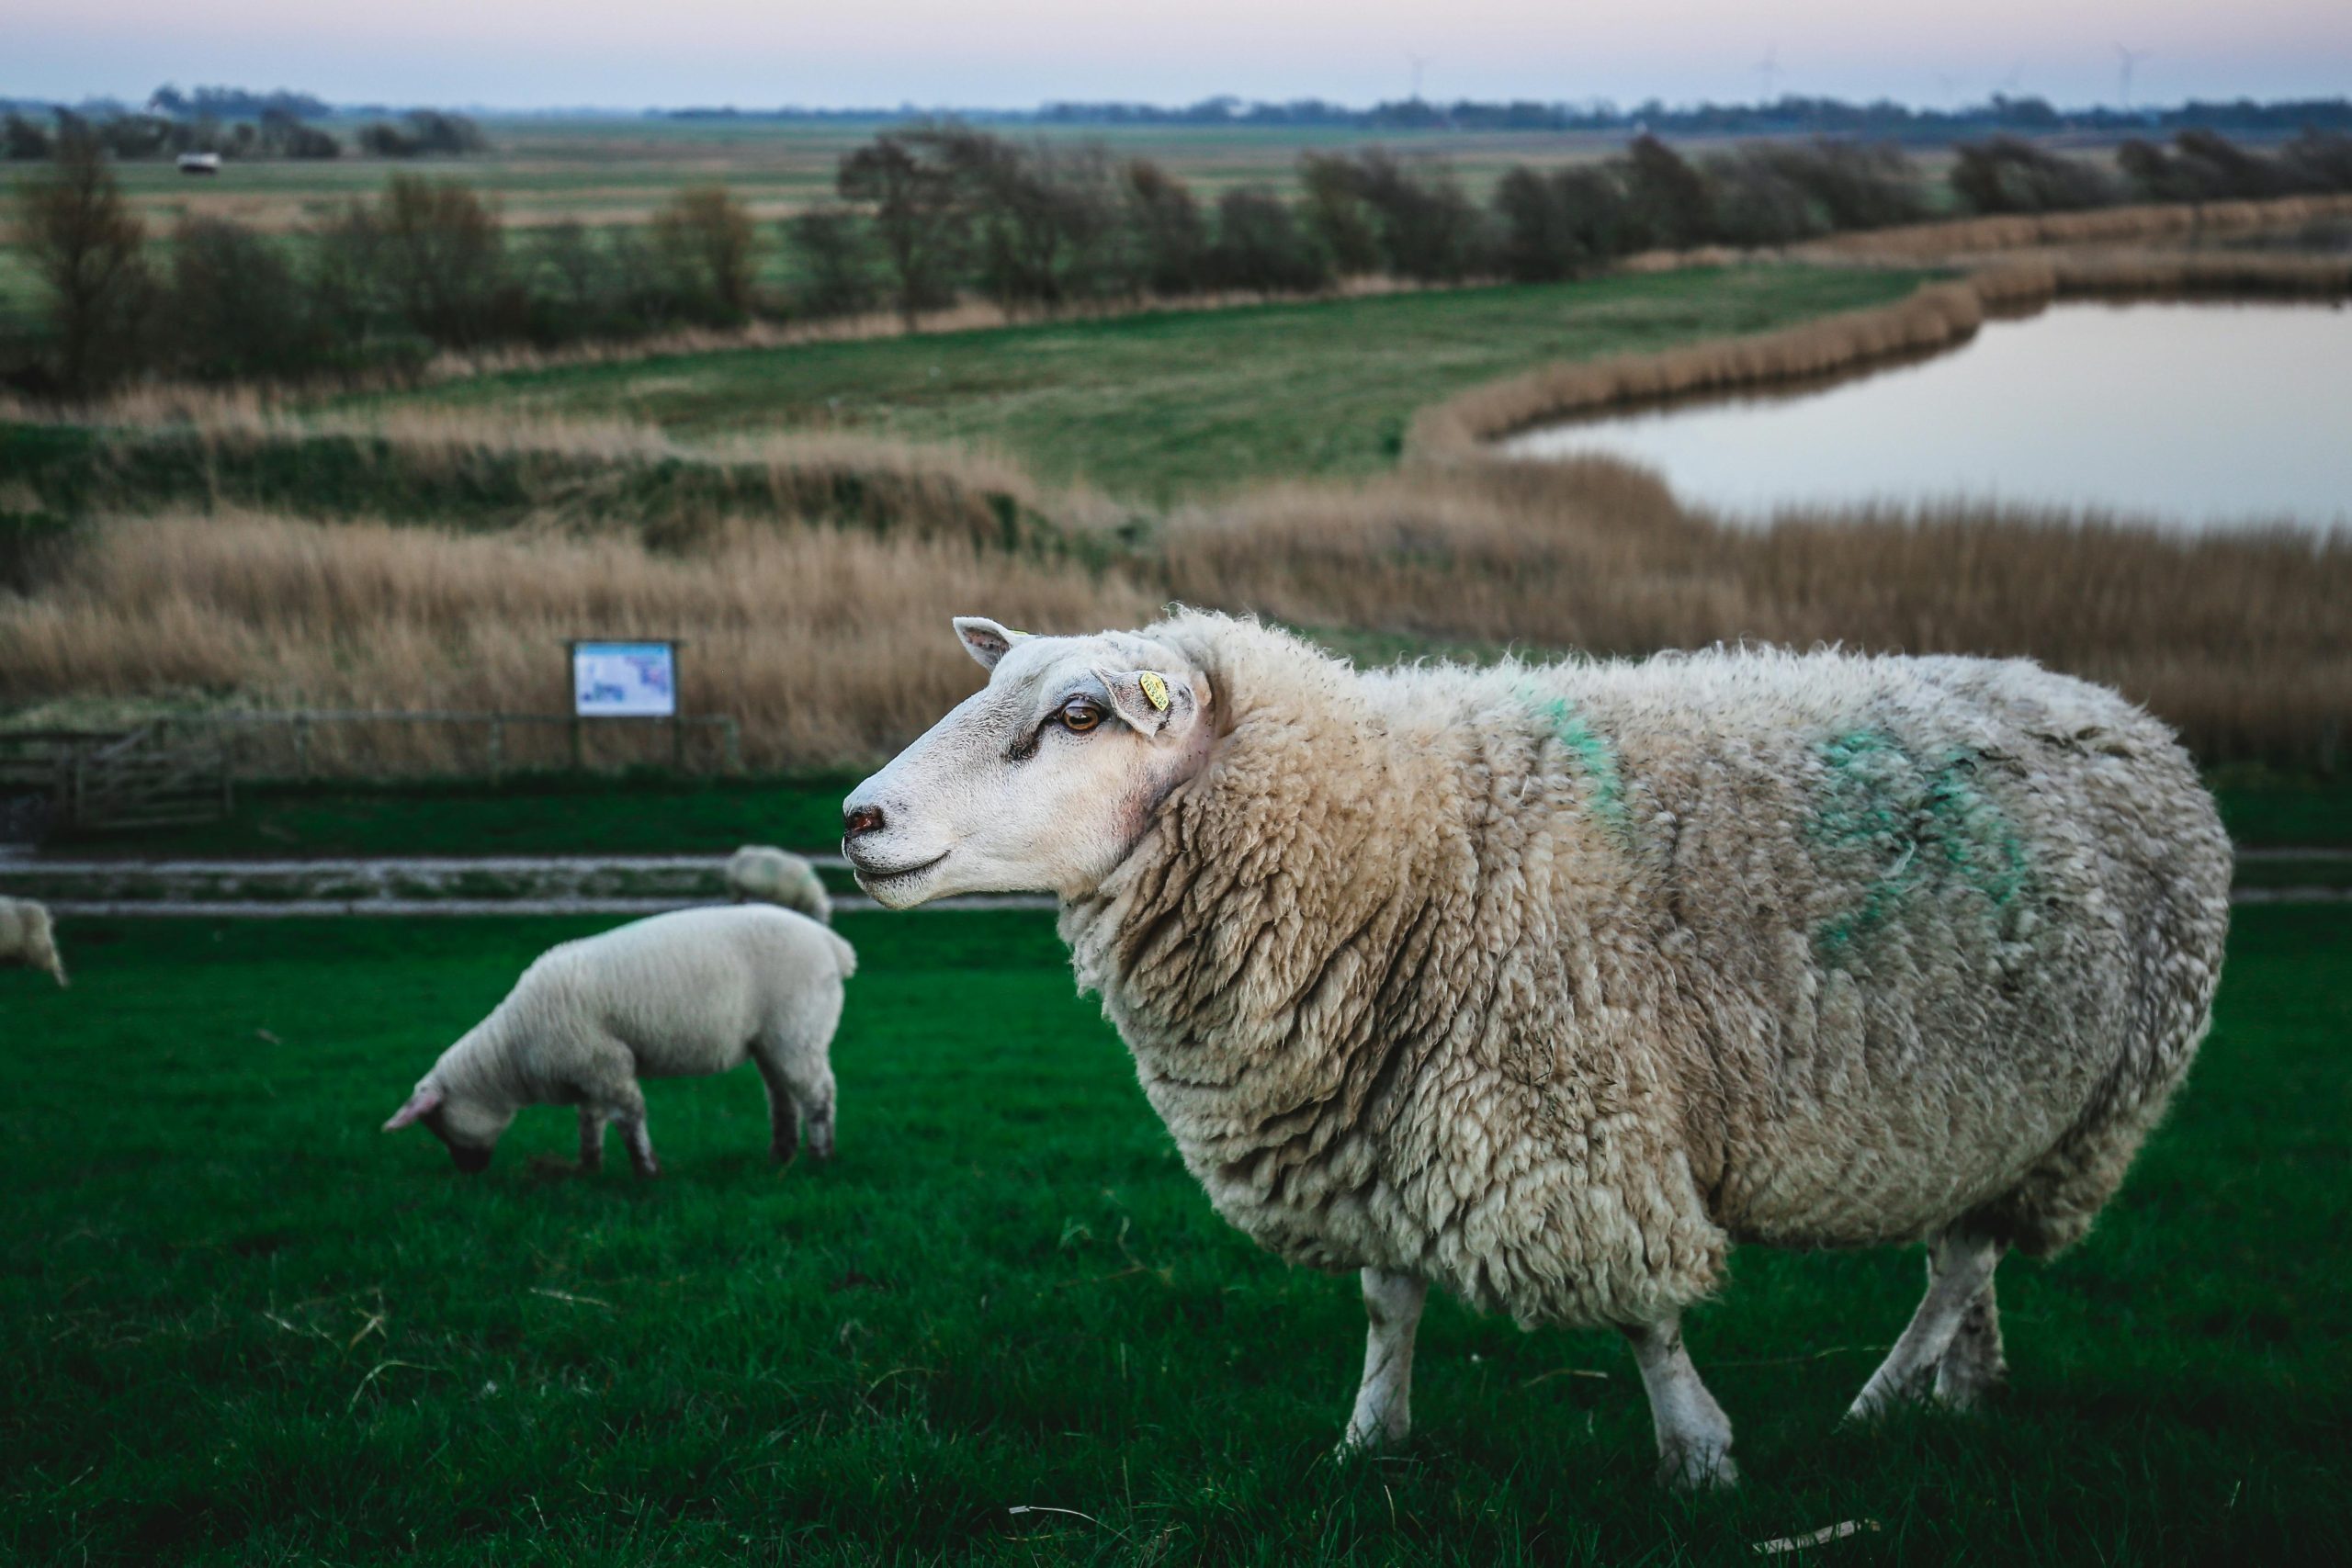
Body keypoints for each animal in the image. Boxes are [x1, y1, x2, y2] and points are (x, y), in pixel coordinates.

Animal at [380, 907, 860, 1175]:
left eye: (436, 1123)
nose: (469, 1172)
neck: (512, 1053)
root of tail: (832, 945)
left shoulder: (605, 1063)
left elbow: (629, 1117)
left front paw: (646, 1170)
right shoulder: (586, 1070)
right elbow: (590, 1121)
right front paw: (588, 1167)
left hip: (798, 1030)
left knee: (817, 1093)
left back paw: (821, 1156)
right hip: (773, 1040)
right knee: (782, 1094)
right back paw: (781, 1155)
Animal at [842, 611, 2220, 1485]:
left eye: (1079, 714)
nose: (858, 818)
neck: (1406, 839)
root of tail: (2121, 711)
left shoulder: (1577, 1114)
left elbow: (1644, 1314)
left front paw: (1698, 1452)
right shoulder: (1381, 1113)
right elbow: (1389, 1299)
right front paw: (1369, 1436)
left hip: (2099, 1103)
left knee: (1961, 1261)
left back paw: (1875, 1406)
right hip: (2000, 1108)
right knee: (1966, 1253)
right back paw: (1962, 1389)